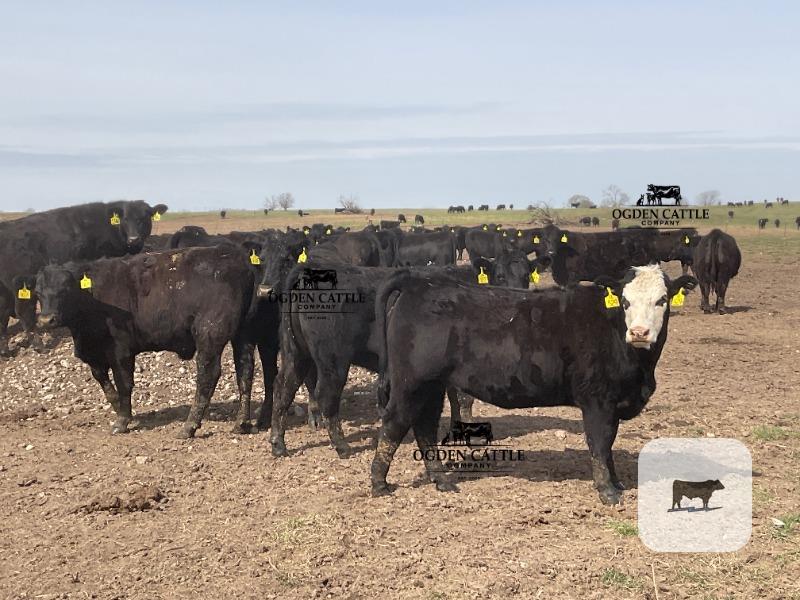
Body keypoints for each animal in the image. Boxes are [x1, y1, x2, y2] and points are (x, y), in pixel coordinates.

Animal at [0, 200, 168, 356]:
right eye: (125, 219)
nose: (134, 239)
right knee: (24, 313)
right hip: (22, 286)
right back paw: (39, 345)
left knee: (3, 315)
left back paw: (4, 350)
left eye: (143, 218)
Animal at [33, 245, 266, 438]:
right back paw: (241, 424)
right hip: (243, 335)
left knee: (207, 375)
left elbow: (123, 383)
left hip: (209, 334)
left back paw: (189, 426)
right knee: (245, 372)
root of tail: (239, 261)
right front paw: (121, 410)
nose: (46, 319)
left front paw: (122, 420)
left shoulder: (121, 350)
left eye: (65, 289)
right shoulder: (94, 355)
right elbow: (105, 384)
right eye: (37, 292)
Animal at [372, 264, 697, 503]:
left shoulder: (613, 404)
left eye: (662, 300)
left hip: (432, 386)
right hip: (411, 382)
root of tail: (420, 282)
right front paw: (607, 491)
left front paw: (617, 483)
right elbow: (600, 444)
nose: (639, 332)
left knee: (424, 427)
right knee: (394, 423)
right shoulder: (597, 401)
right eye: (625, 301)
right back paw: (379, 483)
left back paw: (440, 480)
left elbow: (609, 446)